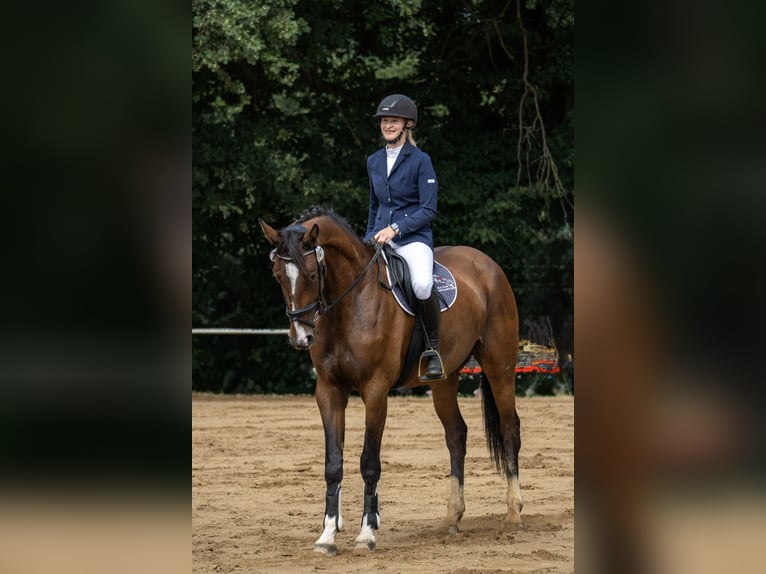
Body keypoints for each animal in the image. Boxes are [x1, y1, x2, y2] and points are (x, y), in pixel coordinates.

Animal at [259, 206, 522, 555]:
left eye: (313, 276)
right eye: (277, 277)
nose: (301, 338)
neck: (349, 303)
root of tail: (486, 263)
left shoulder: (375, 390)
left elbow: (369, 461)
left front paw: (366, 533)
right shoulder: (329, 391)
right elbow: (333, 462)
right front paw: (328, 535)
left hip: (499, 368)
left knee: (509, 430)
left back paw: (514, 513)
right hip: (444, 380)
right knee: (456, 435)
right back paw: (452, 517)